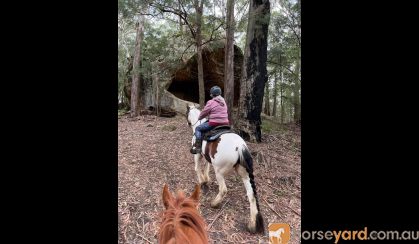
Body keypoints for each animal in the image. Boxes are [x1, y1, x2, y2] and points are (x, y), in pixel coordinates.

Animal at [186, 104, 264, 233]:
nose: (188, 123)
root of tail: (240, 146)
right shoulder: (207, 157)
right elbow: (206, 167)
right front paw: (206, 179)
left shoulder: (197, 154)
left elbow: (197, 168)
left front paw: (202, 181)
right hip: (244, 174)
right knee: (251, 195)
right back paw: (252, 225)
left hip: (219, 172)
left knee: (223, 189)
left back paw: (214, 203)